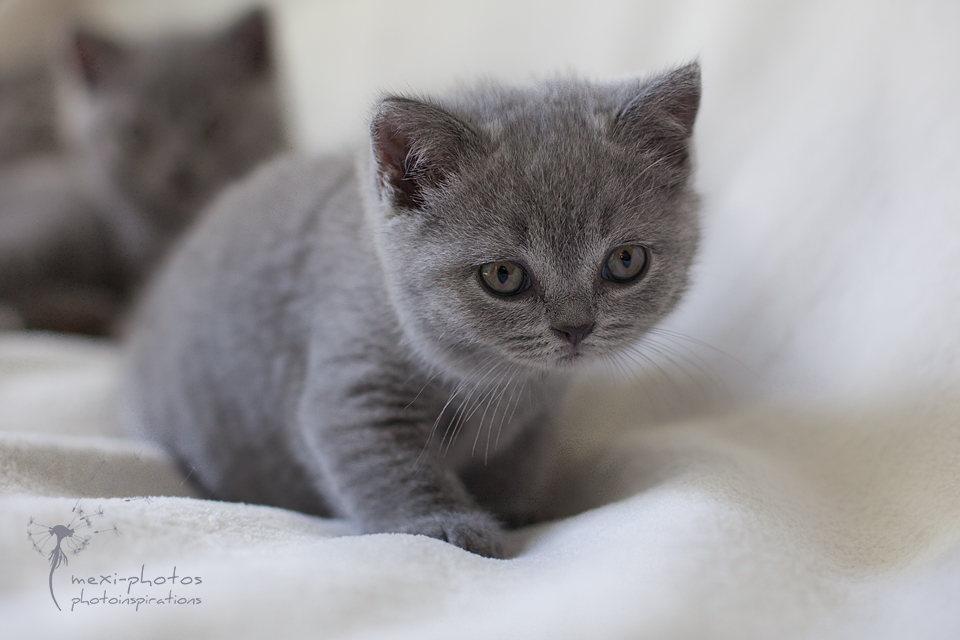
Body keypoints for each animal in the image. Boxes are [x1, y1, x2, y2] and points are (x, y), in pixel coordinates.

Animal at [127, 62, 700, 556]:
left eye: (625, 261)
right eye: (504, 276)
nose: (576, 327)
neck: (499, 381)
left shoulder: (536, 418)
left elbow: (518, 462)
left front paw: (514, 510)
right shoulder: (353, 392)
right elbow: (397, 468)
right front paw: (445, 525)